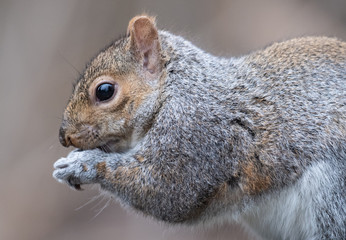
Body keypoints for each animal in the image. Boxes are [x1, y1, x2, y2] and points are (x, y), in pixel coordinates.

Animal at [52, 15, 346, 240]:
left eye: (104, 91)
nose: (64, 137)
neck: (179, 88)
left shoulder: (197, 132)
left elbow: (166, 189)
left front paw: (80, 164)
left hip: (334, 196)